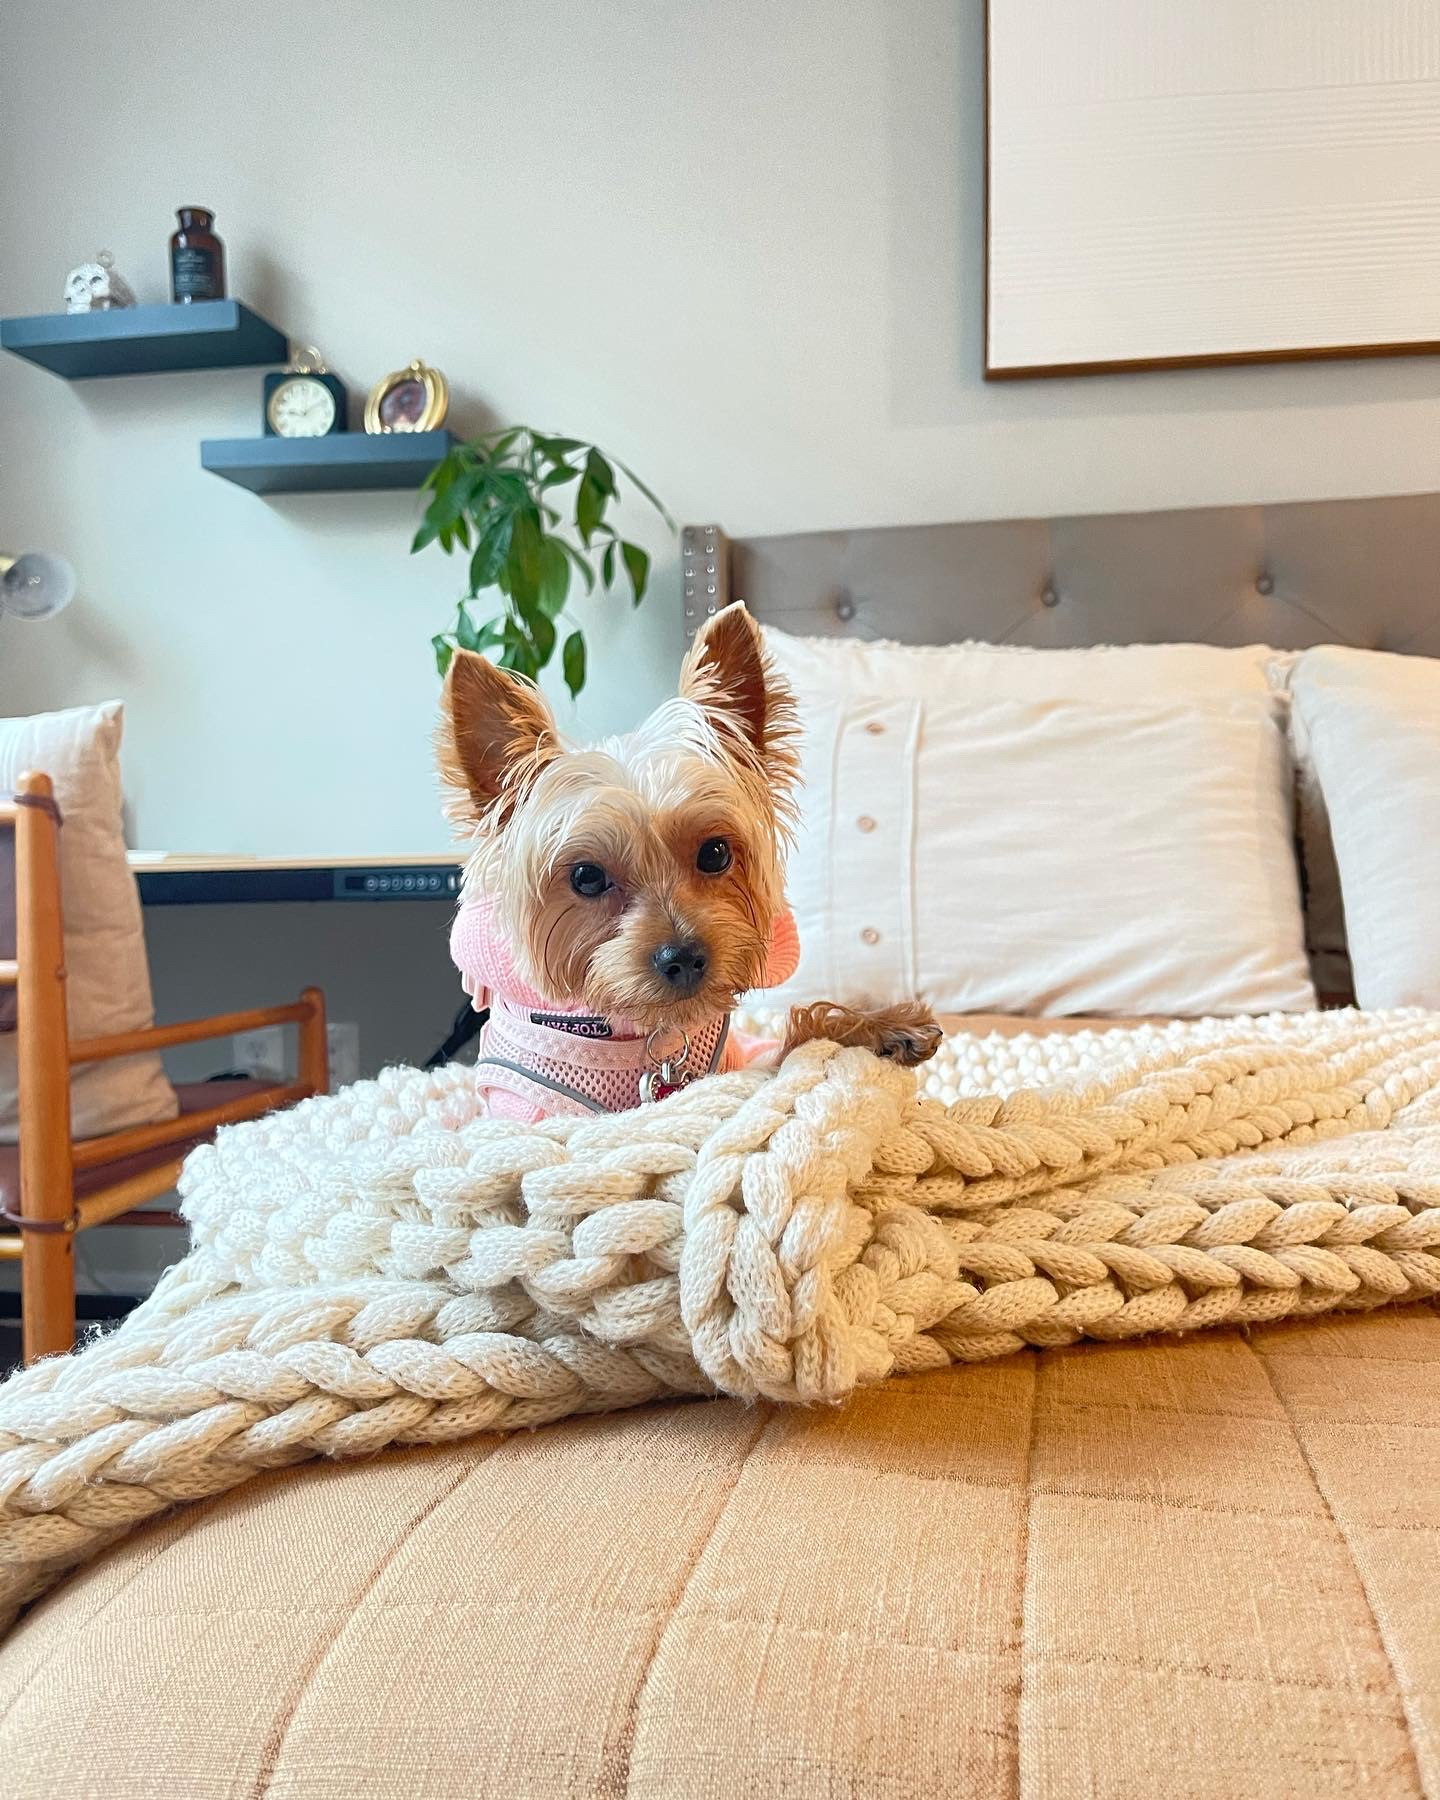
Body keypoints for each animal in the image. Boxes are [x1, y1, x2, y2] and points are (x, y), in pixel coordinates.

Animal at [439, 597, 936, 1116]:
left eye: (715, 852)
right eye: (587, 877)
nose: (683, 958)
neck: (650, 1036)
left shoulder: (731, 1063)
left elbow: (787, 1051)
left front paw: (884, 1026)